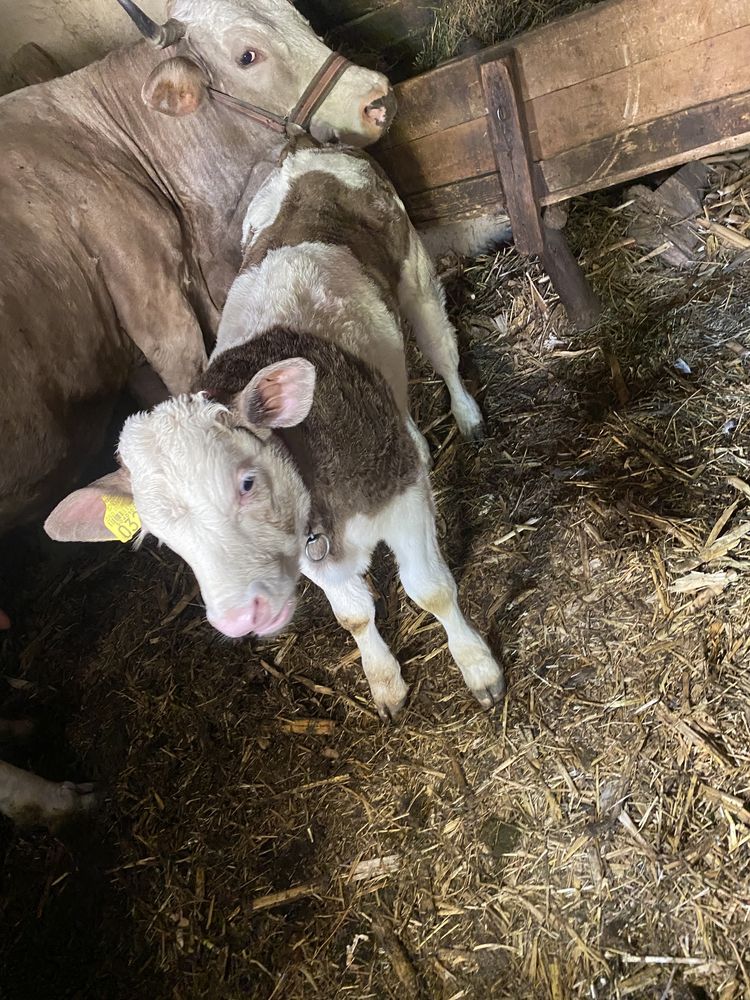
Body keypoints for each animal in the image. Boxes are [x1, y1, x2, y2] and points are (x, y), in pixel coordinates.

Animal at [45, 145, 506, 716]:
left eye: (246, 483)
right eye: (161, 538)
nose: (241, 617)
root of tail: (305, 151)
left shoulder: (403, 504)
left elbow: (432, 589)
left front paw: (477, 666)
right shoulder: (304, 551)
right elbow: (353, 615)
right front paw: (383, 680)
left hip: (414, 273)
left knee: (442, 349)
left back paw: (466, 415)